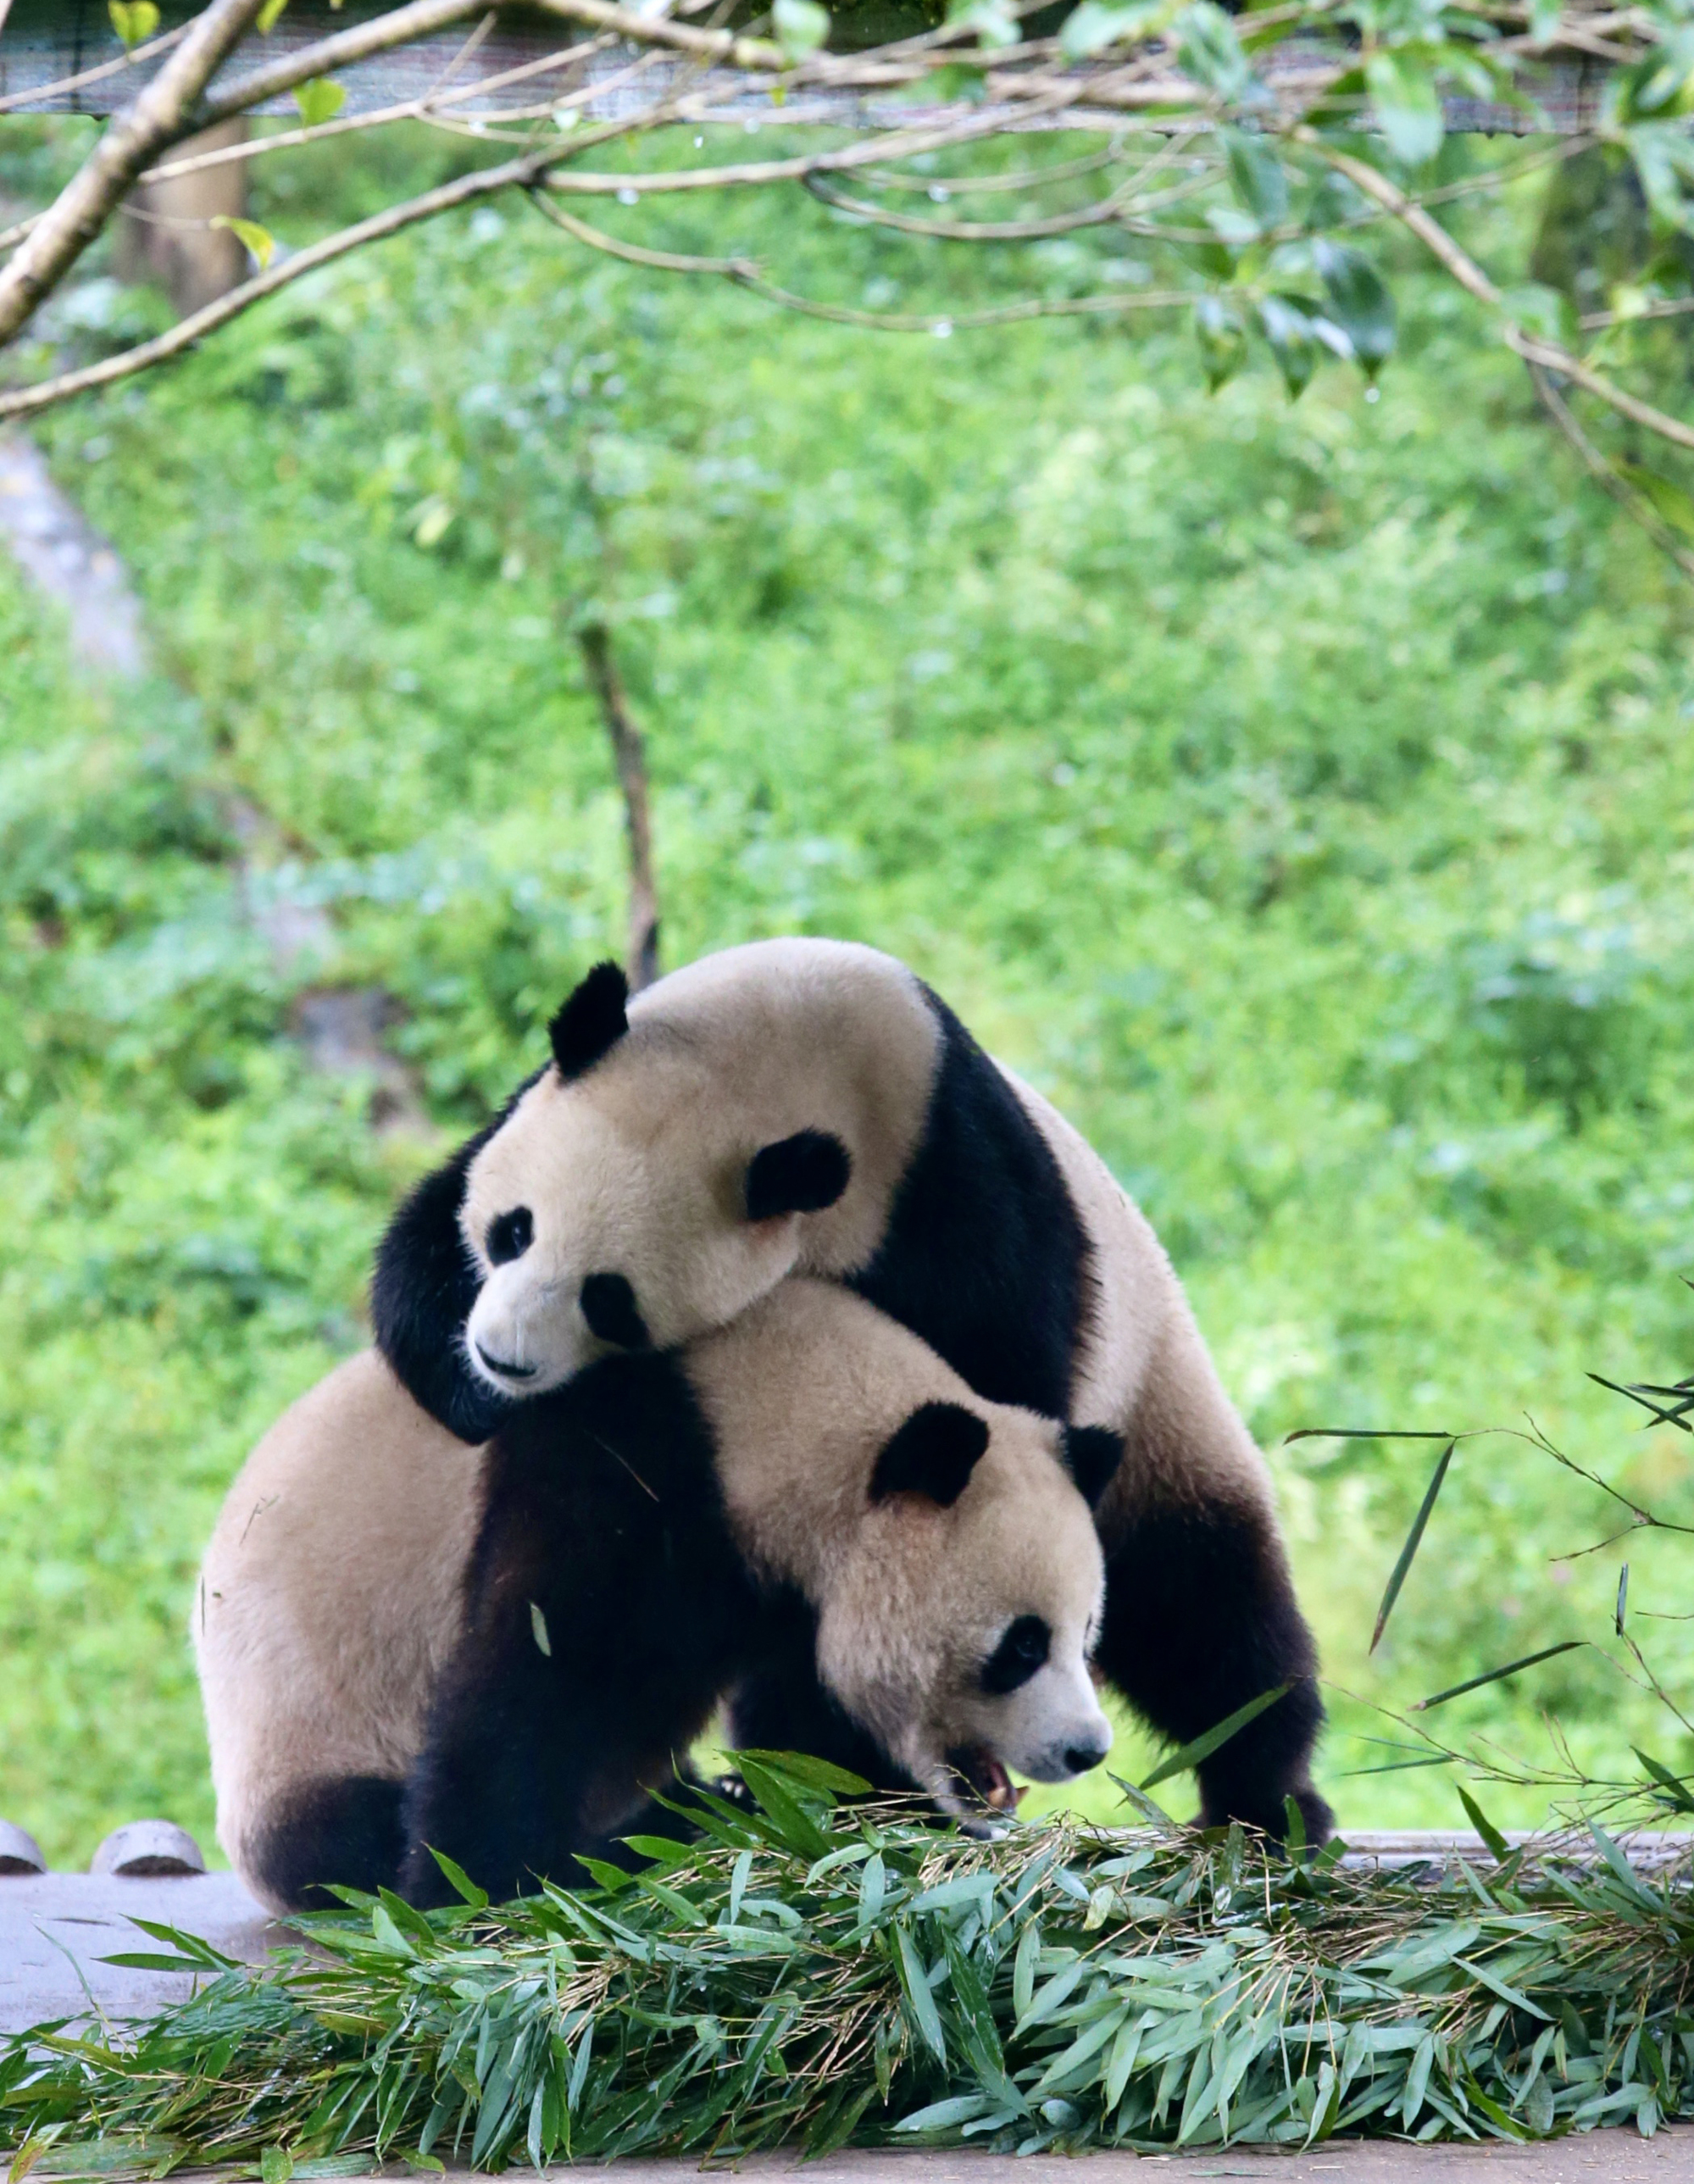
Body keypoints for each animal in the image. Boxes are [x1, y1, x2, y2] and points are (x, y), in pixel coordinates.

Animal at [198, 1275, 1117, 1913]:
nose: (1086, 1750)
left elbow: (811, 1723)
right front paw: (483, 1885)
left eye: (1084, 1636)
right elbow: (536, 1681)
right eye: (1021, 1645)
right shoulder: (621, 1475)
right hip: (306, 1727)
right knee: (345, 1836)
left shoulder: (793, 1589)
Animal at [373, 943, 1336, 1860]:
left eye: (608, 1298)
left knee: (1210, 1617)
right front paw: (466, 1391)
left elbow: (990, 1387)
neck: (793, 1054)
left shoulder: (957, 1199)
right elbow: (421, 1239)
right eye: (513, 1230)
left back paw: (1268, 1798)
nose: (500, 1358)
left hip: (1158, 1402)